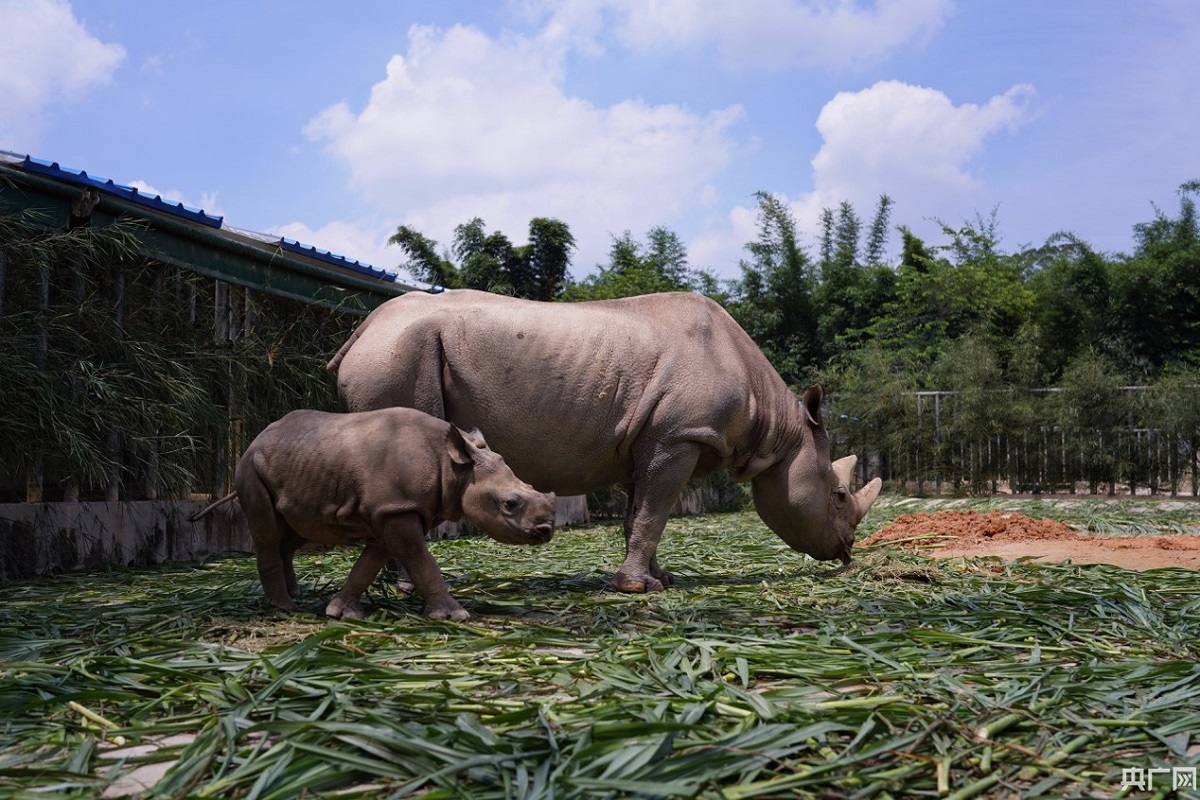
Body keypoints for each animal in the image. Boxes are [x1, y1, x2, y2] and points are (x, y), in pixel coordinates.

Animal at [193, 410, 556, 623]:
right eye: (511, 504)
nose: (546, 531)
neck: (456, 468)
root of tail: (256, 438)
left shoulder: (390, 510)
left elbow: (369, 564)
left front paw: (343, 613)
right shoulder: (397, 508)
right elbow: (421, 561)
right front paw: (454, 617)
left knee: (294, 531)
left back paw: (294, 596)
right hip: (249, 468)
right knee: (269, 534)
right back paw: (286, 608)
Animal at [328, 291, 883, 592]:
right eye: (838, 495)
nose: (847, 550)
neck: (777, 432)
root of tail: (363, 329)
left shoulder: (656, 440)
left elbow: (642, 513)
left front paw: (658, 581)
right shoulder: (679, 437)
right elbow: (655, 512)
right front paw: (637, 587)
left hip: (395, 352)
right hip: (400, 355)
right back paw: (407, 589)